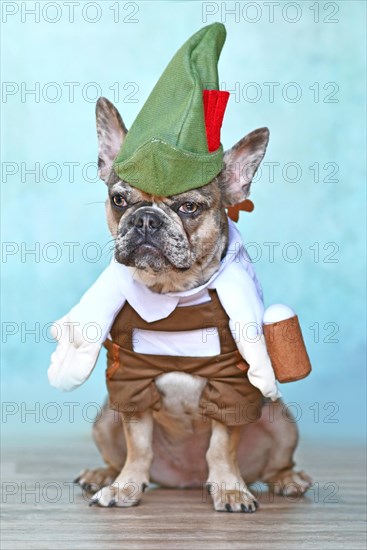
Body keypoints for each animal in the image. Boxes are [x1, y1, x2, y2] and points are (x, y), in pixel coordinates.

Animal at [73, 96, 312, 512]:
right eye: (119, 200)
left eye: (188, 208)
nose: (146, 219)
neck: (173, 294)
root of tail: (185, 480)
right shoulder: (131, 381)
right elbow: (138, 445)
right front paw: (125, 487)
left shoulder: (232, 384)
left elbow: (221, 446)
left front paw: (230, 488)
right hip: (104, 419)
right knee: (119, 453)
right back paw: (103, 475)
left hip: (282, 421)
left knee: (276, 465)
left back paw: (288, 480)